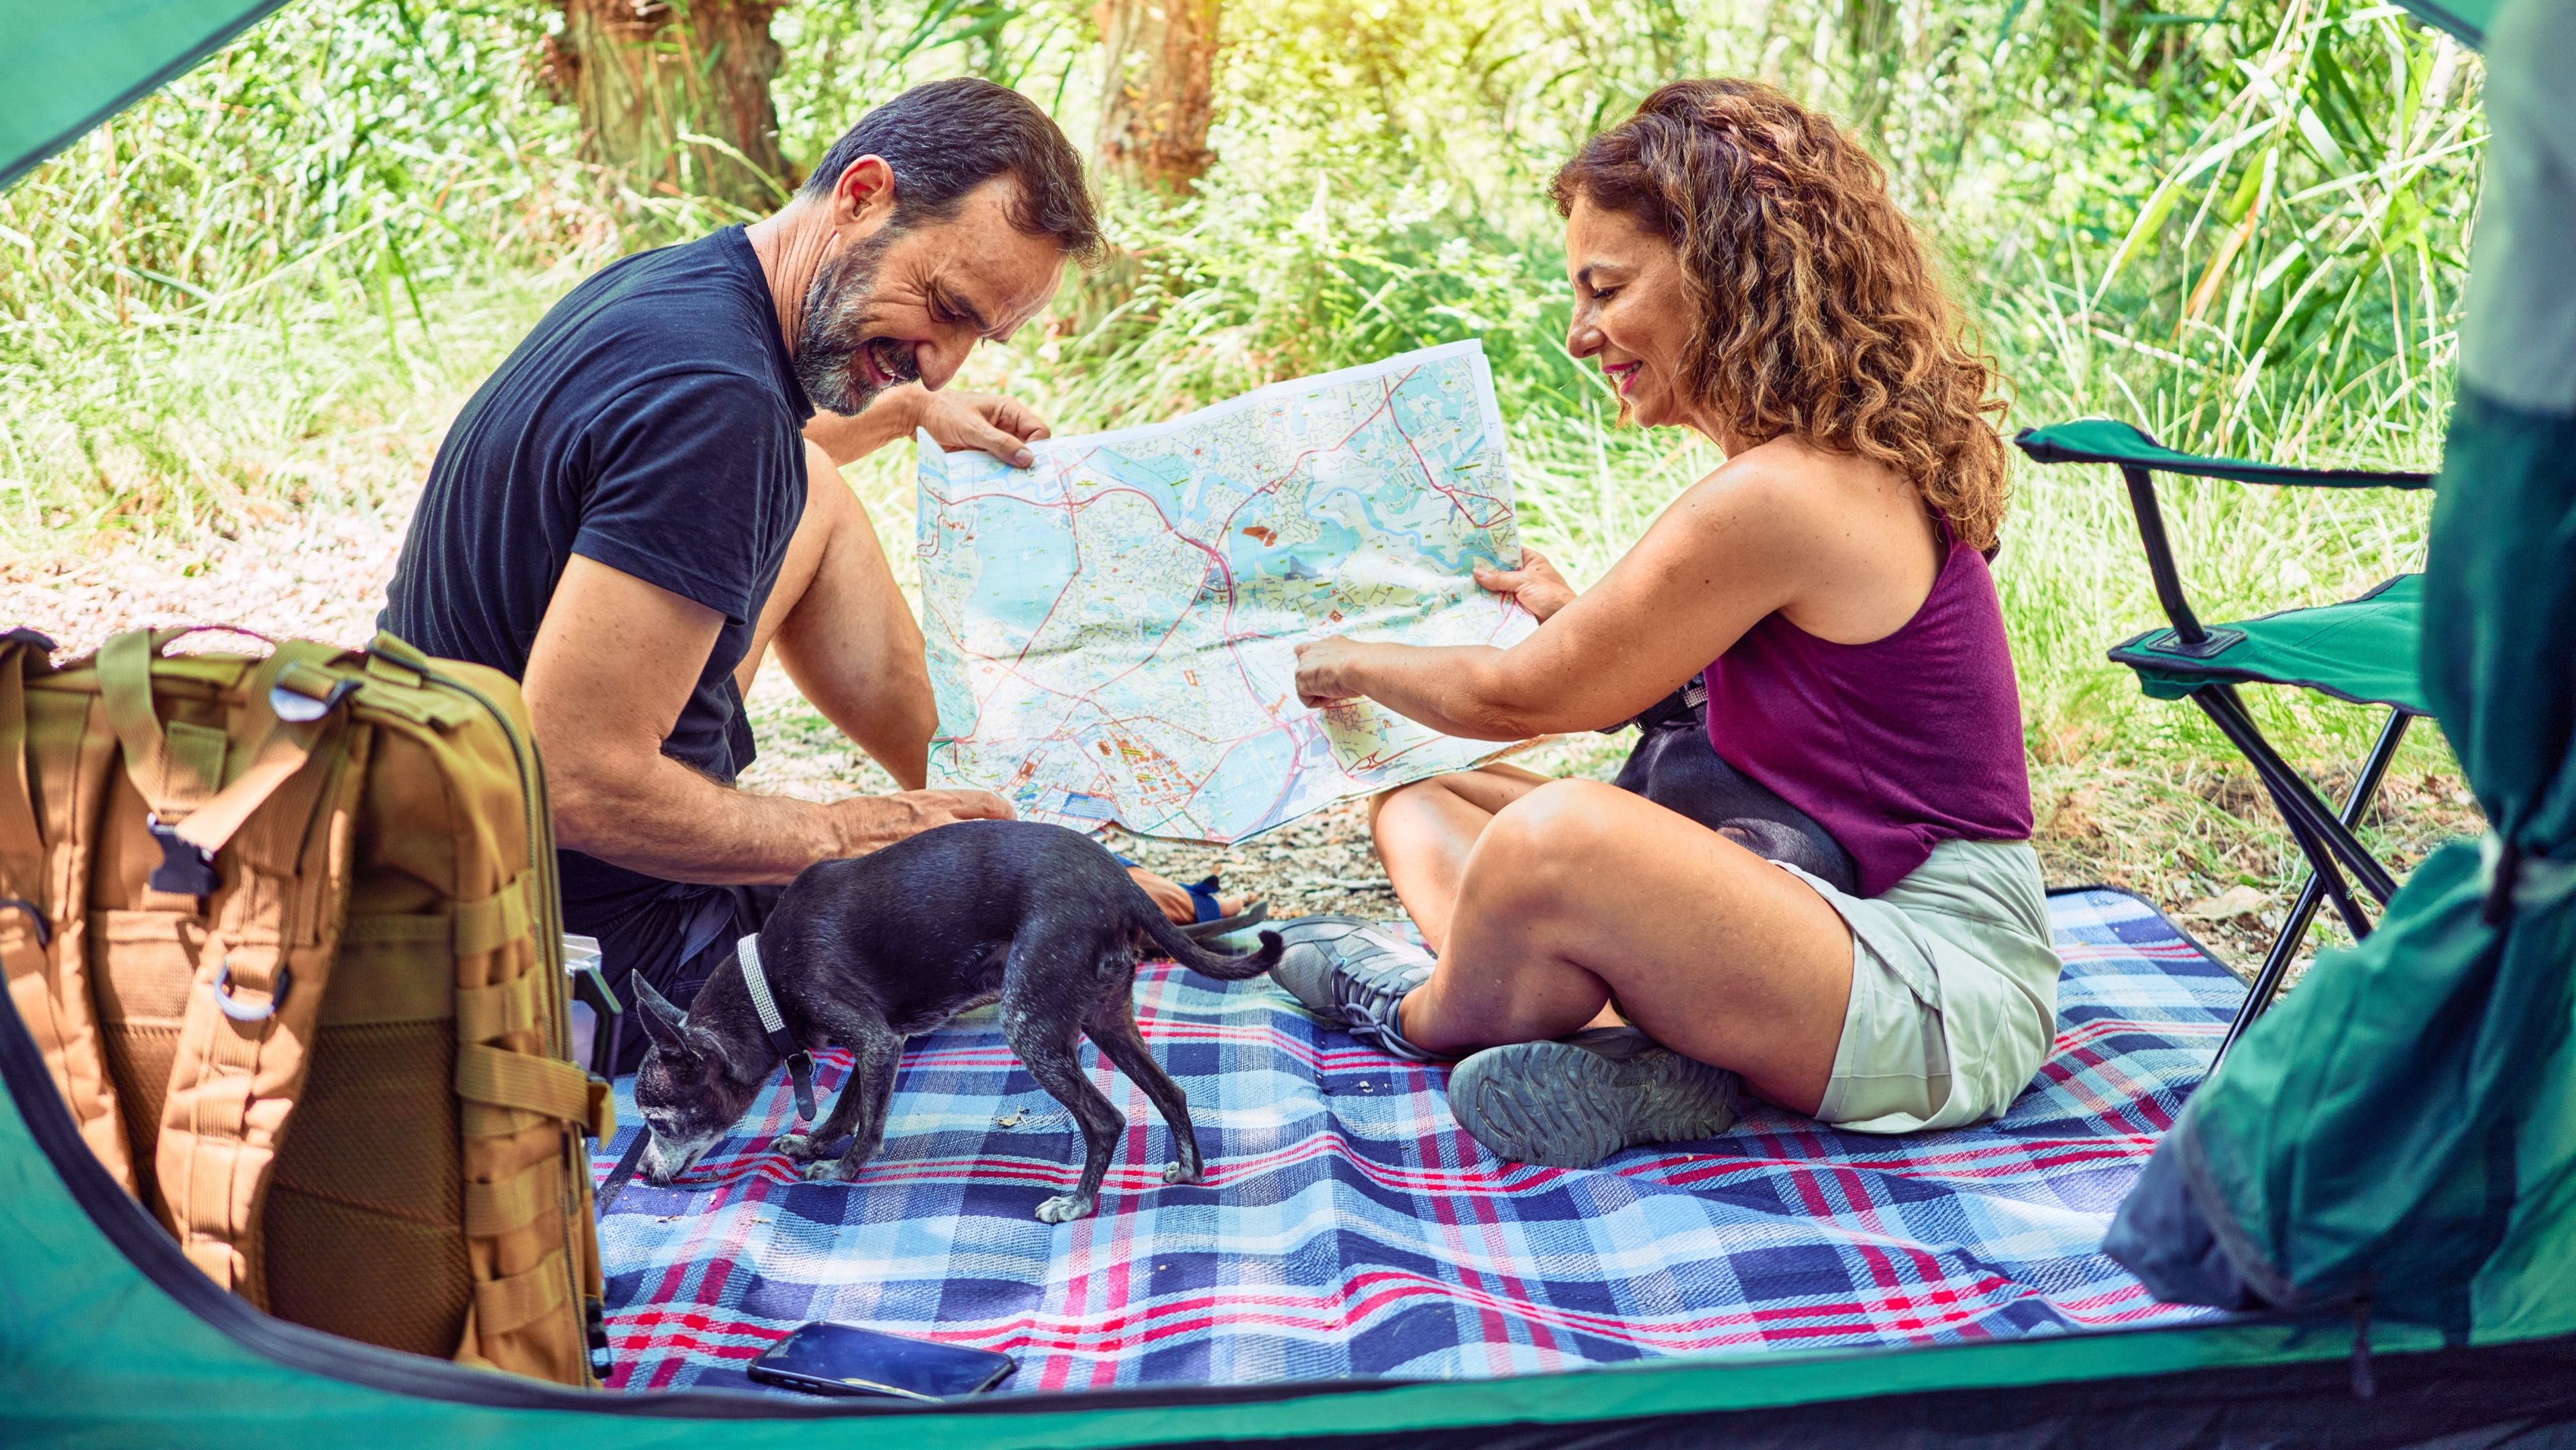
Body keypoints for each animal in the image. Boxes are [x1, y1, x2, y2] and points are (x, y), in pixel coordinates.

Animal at [628, 824, 1283, 1221]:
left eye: (657, 1120)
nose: (640, 1171)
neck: (766, 977)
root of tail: (1122, 882)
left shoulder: (877, 1041)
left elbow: (868, 1126)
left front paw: (839, 1169)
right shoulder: (878, 1043)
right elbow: (847, 1105)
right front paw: (813, 1140)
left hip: (1030, 1026)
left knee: (1106, 1119)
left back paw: (1077, 1204)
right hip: (1105, 1020)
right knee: (1171, 1091)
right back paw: (1190, 1171)